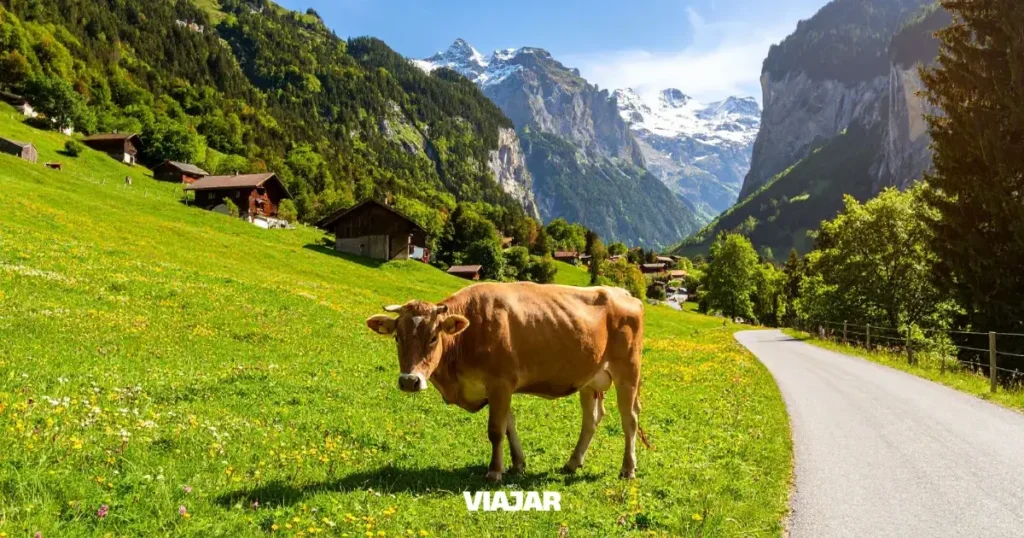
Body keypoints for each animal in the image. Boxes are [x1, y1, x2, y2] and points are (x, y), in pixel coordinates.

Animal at [365, 282, 647, 482]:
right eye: (397, 337)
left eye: (434, 337)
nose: (409, 381)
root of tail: (622, 292)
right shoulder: (499, 389)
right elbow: (509, 425)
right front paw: (518, 464)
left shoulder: (501, 383)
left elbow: (496, 430)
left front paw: (495, 471)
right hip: (589, 380)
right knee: (592, 419)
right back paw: (572, 463)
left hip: (628, 372)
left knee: (629, 419)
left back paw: (628, 469)